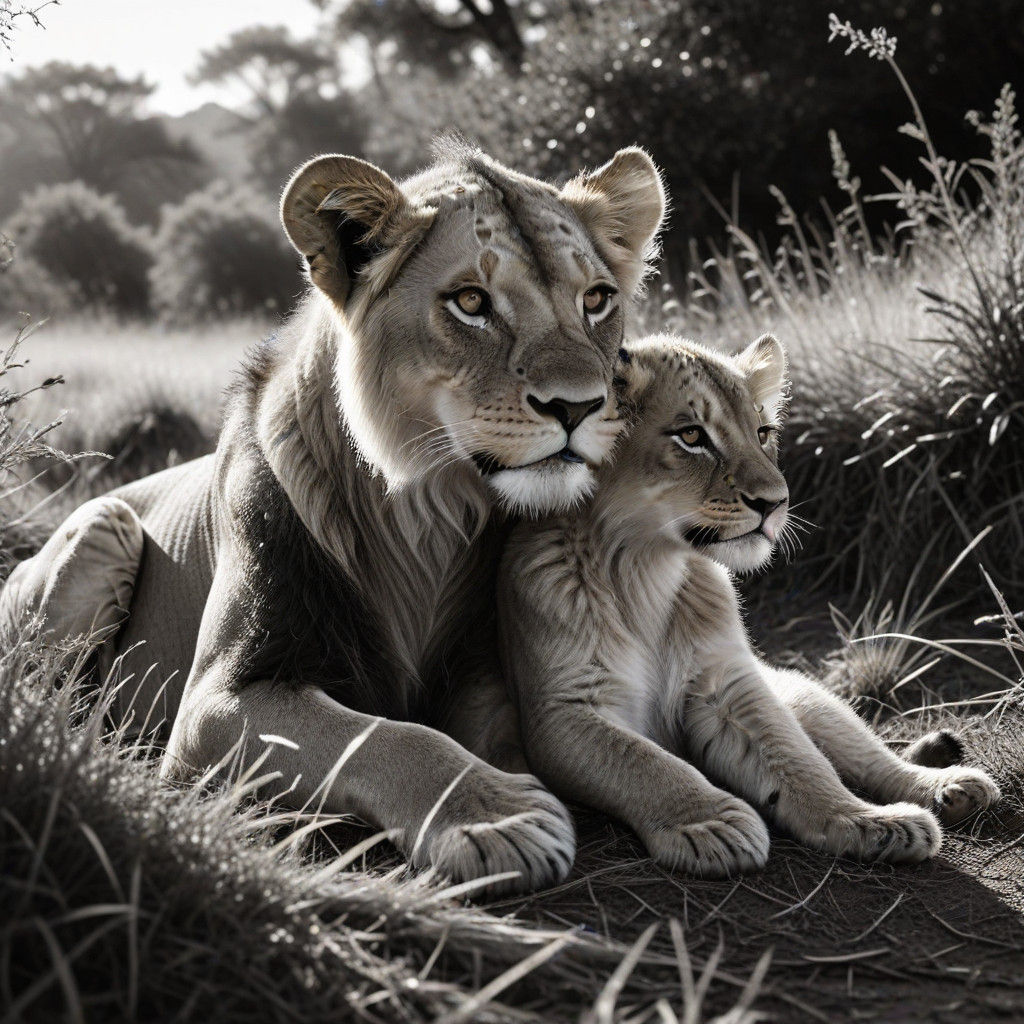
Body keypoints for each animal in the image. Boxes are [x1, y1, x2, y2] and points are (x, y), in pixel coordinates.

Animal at [0, 141, 666, 894]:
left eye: (596, 300)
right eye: (471, 302)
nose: (579, 406)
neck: (426, 515)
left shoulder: (478, 670)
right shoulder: (215, 703)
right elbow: (386, 735)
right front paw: (496, 815)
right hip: (104, 522)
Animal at [498, 332, 1001, 876]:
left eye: (762, 432)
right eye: (691, 435)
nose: (775, 502)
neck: (646, 569)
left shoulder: (731, 685)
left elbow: (799, 761)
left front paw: (863, 821)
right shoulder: (561, 711)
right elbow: (647, 763)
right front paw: (711, 823)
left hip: (803, 693)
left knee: (868, 757)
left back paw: (948, 787)